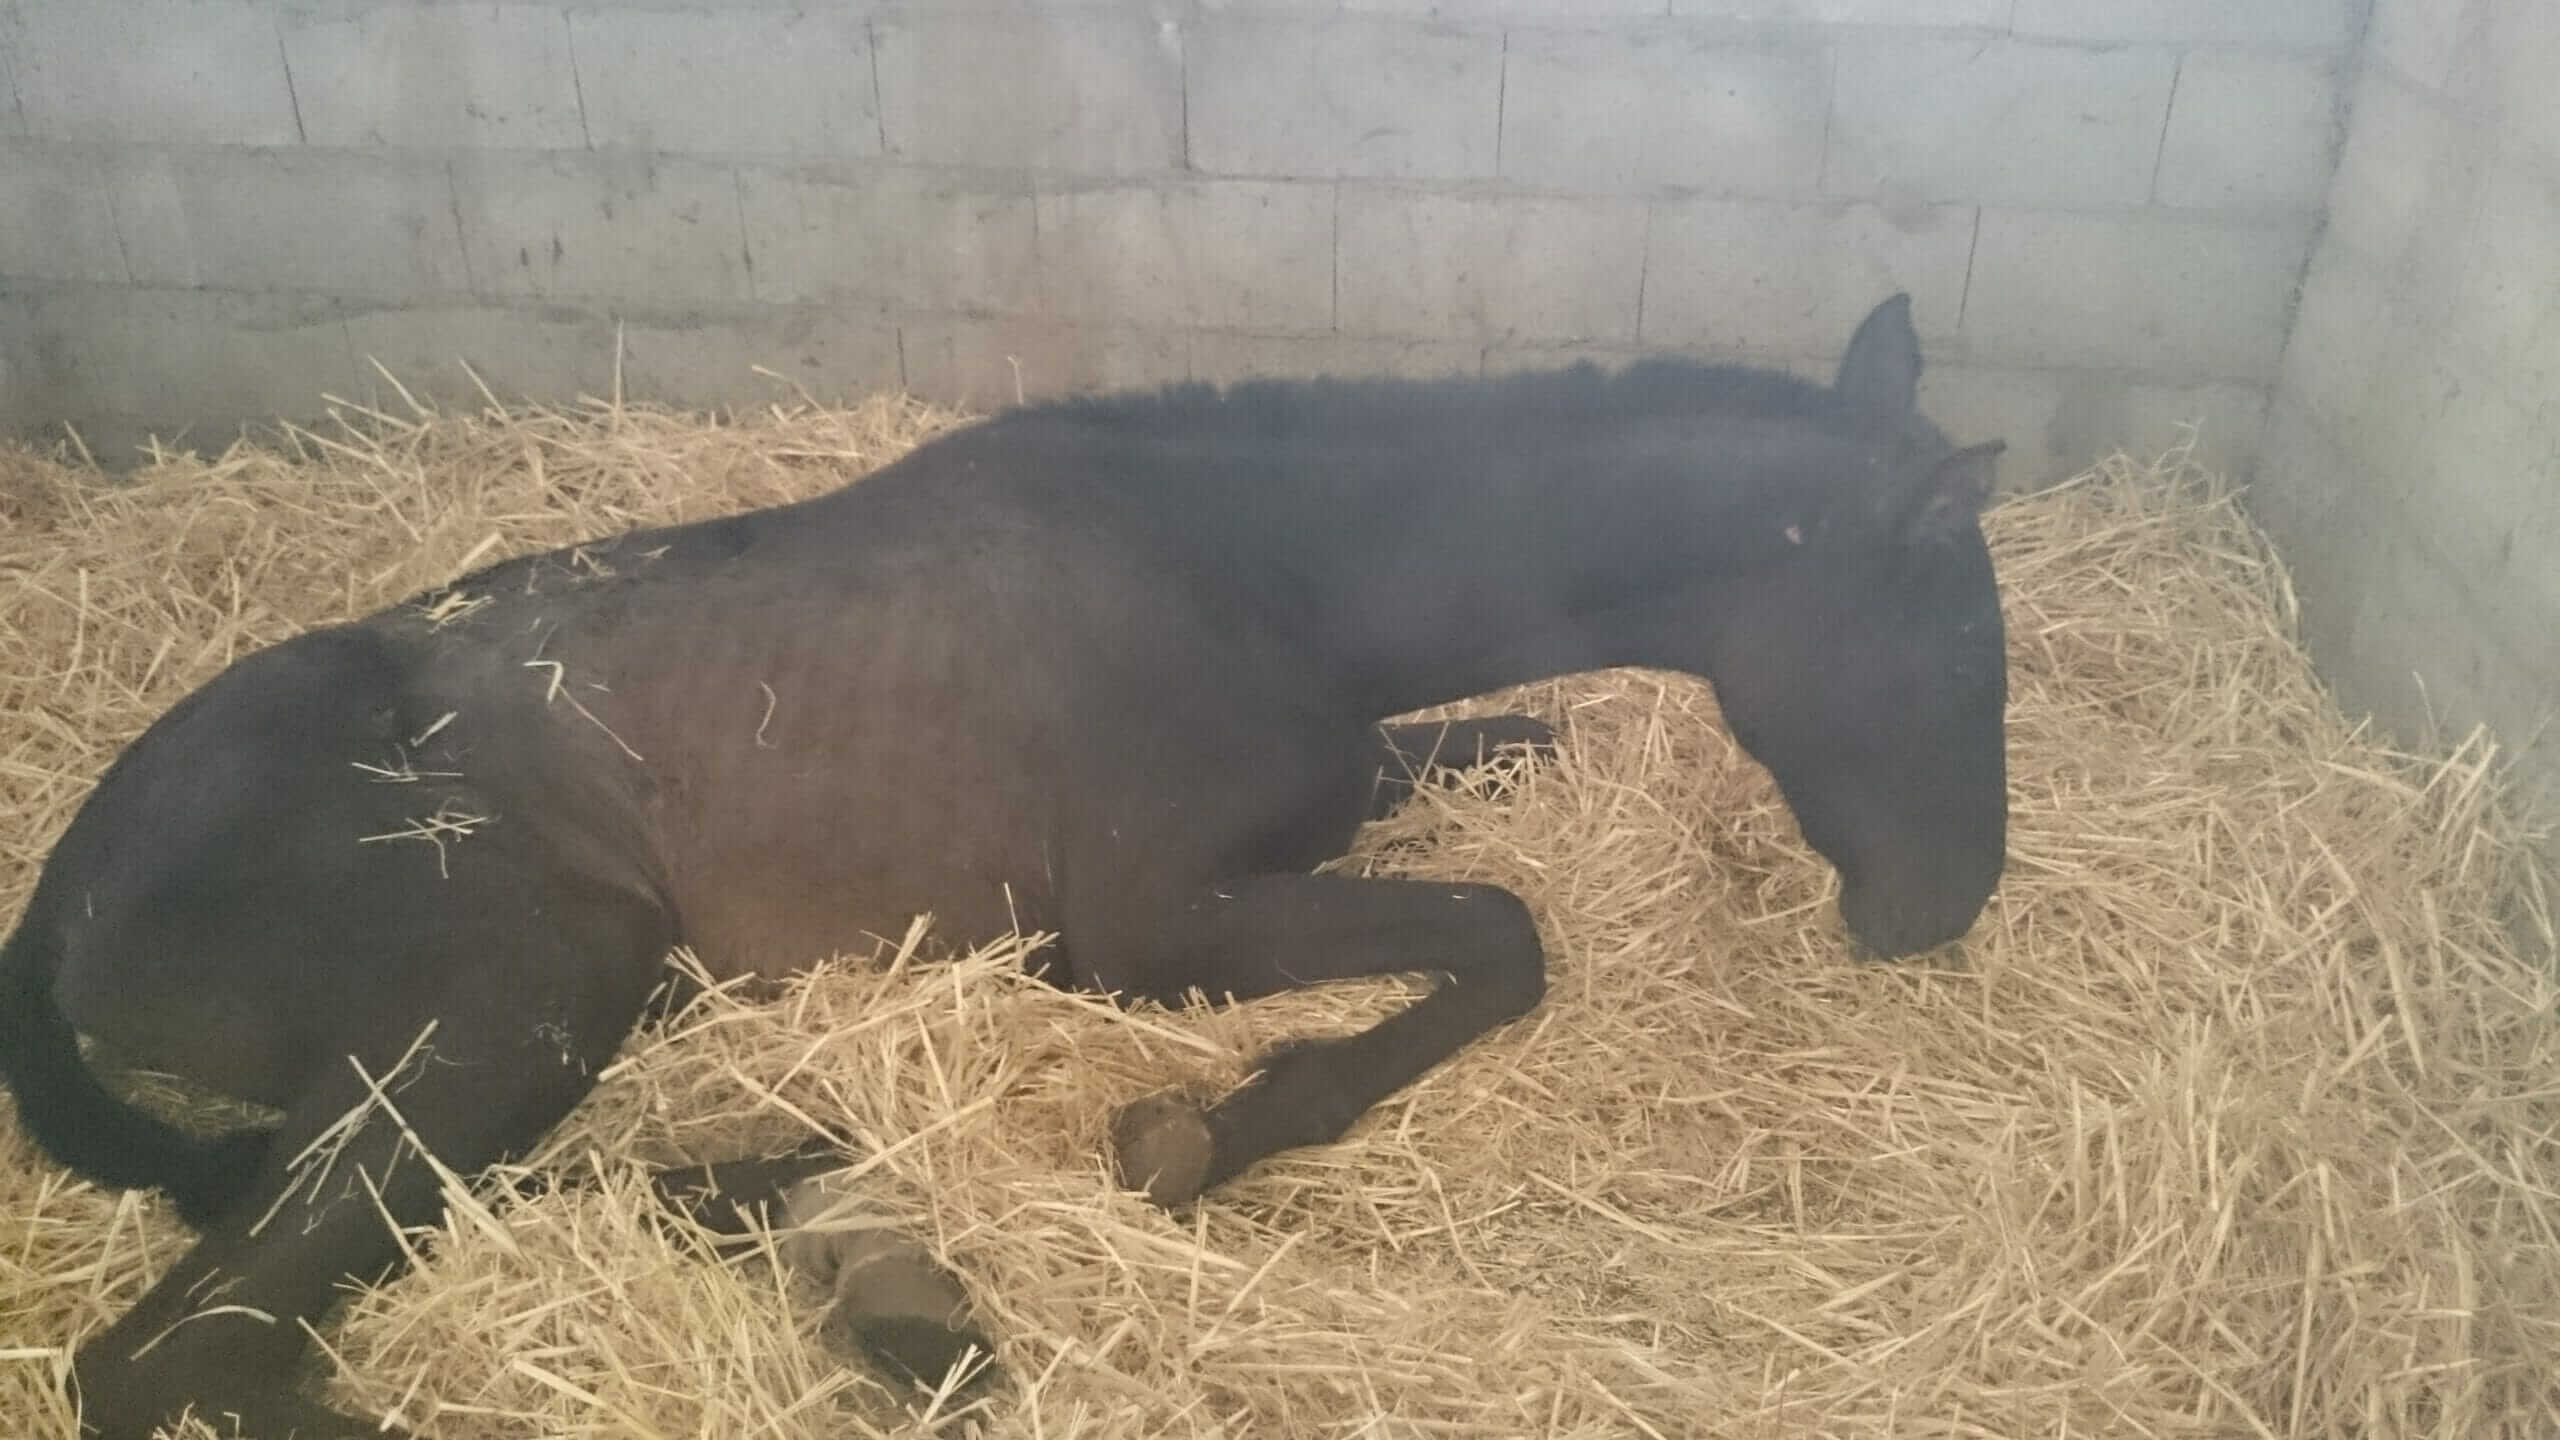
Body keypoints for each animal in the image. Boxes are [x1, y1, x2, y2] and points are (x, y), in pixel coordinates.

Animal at [0, 293, 2009, 1437]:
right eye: (1956, 654)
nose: (1945, 913)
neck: (1257, 580)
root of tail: (67, 896)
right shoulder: (1137, 925)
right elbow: (1501, 938)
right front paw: (1205, 1134)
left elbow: (1510, 771)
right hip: (531, 976)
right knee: (173, 1353)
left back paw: (850, 1249)